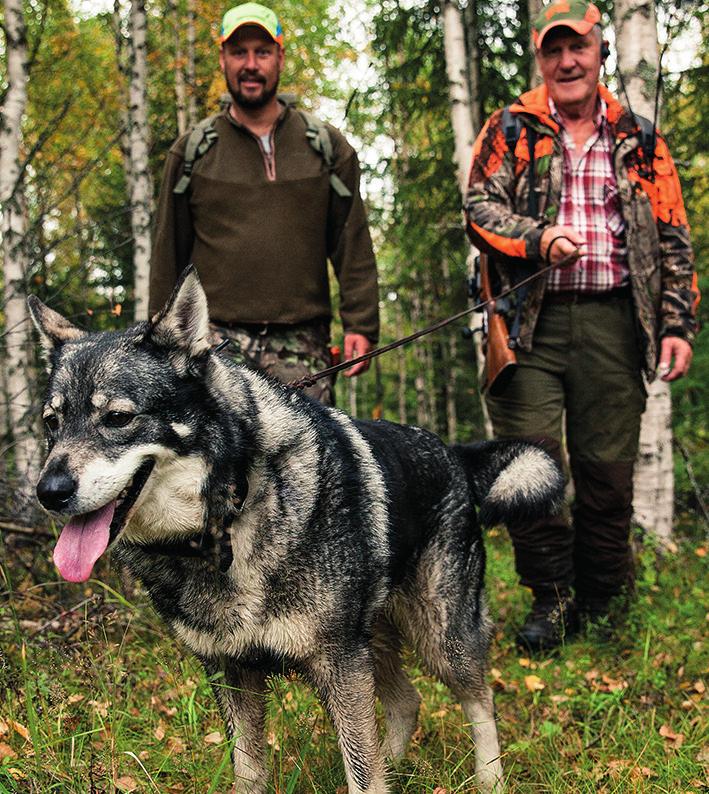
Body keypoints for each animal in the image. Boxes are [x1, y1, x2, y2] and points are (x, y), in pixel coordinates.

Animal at [27, 268, 560, 792]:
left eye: (117, 418)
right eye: (51, 423)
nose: (48, 491)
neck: (230, 518)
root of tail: (455, 453)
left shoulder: (339, 665)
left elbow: (362, 773)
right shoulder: (232, 673)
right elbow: (250, 771)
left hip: (440, 637)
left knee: (480, 701)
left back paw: (489, 778)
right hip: (375, 641)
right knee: (407, 701)